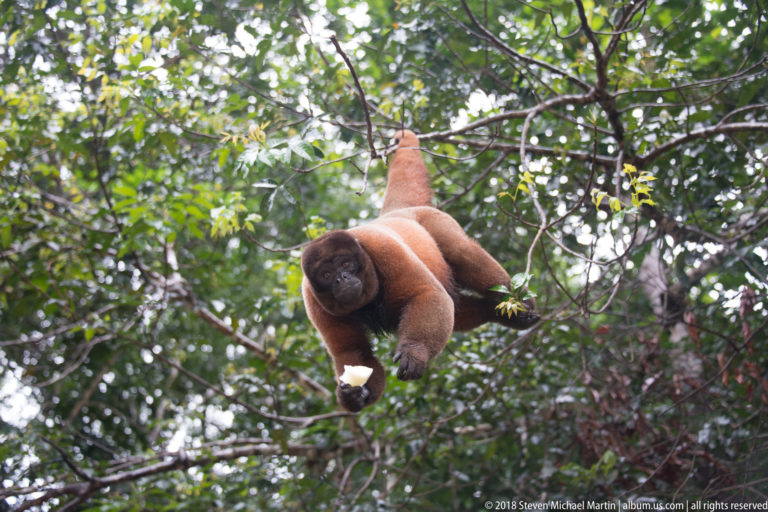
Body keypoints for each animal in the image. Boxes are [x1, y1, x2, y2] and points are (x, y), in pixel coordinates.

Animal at [301, 129, 539, 412]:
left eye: (346, 264)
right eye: (326, 275)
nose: (342, 278)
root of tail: (398, 212)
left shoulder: (383, 247)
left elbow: (429, 295)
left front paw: (415, 352)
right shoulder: (311, 298)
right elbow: (352, 351)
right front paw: (353, 395)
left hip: (435, 220)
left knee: (461, 254)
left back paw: (517, 303)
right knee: (456, 306)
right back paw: (495, 313)